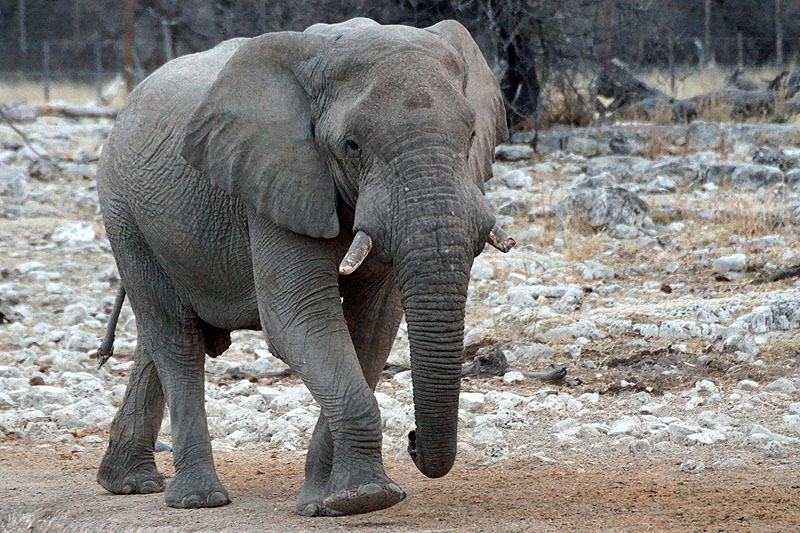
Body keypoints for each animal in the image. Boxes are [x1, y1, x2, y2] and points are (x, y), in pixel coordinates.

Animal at [95, 17, 512, 516]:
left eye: (470, 137)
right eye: (352, 145)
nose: (412, 441)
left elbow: (371, 327)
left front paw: (325, 501)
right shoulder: (274, 181)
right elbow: (299, 319)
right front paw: (367, 498)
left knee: (156, 339)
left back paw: (129, 483)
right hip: (124, 212)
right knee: (175, 337)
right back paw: (197, 498)